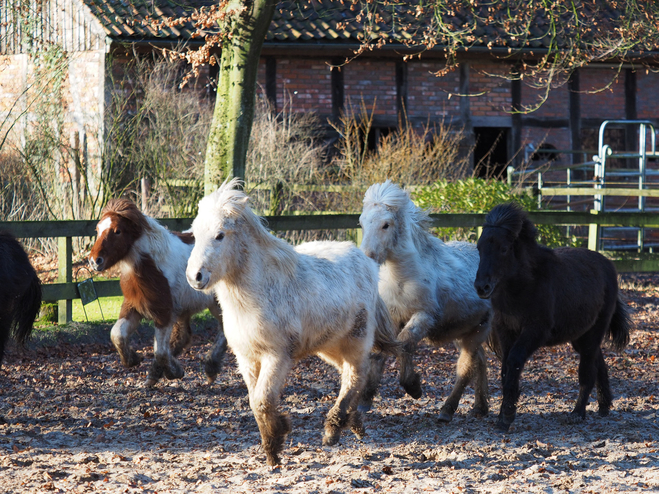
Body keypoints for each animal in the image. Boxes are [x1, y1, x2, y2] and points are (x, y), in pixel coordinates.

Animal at [88, 197, 227, 386]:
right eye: (97, 229)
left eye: (117, 231)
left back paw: (210, 368)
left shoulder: (164, 313)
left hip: (217, 304)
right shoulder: (133, 306)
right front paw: (133, 360)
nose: (94, 261)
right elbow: (117, 334)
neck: (153, 265)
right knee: (184, 336)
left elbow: (160, 351)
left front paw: (174, 372)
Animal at [188, 179, 400, 466]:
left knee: (355, 375)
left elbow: (263, 400)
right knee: (356, 373)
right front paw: (273, 444)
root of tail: (365, 261)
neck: (258, 293)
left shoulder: (277, 356)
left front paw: (275, 447)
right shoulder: (247, 358)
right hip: (329, 347)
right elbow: (255, 401)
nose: (195, 277)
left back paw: (333, 429)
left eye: (220, 235)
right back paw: (354, 423)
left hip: (355, 340)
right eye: (194, 234)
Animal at [358, 179, 492, 422]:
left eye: (386, 225)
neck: (402, 279)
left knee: (466, 368)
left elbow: (405, 343)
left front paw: (413, 387)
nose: (367, 258)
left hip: (479, 330)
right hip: (465, 331)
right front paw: (365, 400)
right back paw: (480, 407)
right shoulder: (392, 318)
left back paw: (447, 410)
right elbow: (380, 352)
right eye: (362, 223)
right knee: (480, 360)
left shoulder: (424, 316)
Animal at [472, 203, 632, 430]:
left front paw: (507, 415)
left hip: (594, 331)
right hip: (580, 336)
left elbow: (514, 361)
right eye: (479, 248)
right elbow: (505, 368)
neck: (524, 285)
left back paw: (577, 413)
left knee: (588, 371)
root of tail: (608, 265)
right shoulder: (506, 331)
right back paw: (604, 406)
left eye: (503, 248)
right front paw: (504, 414)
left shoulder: (535, 330)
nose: (481, 287)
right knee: (598, 362)